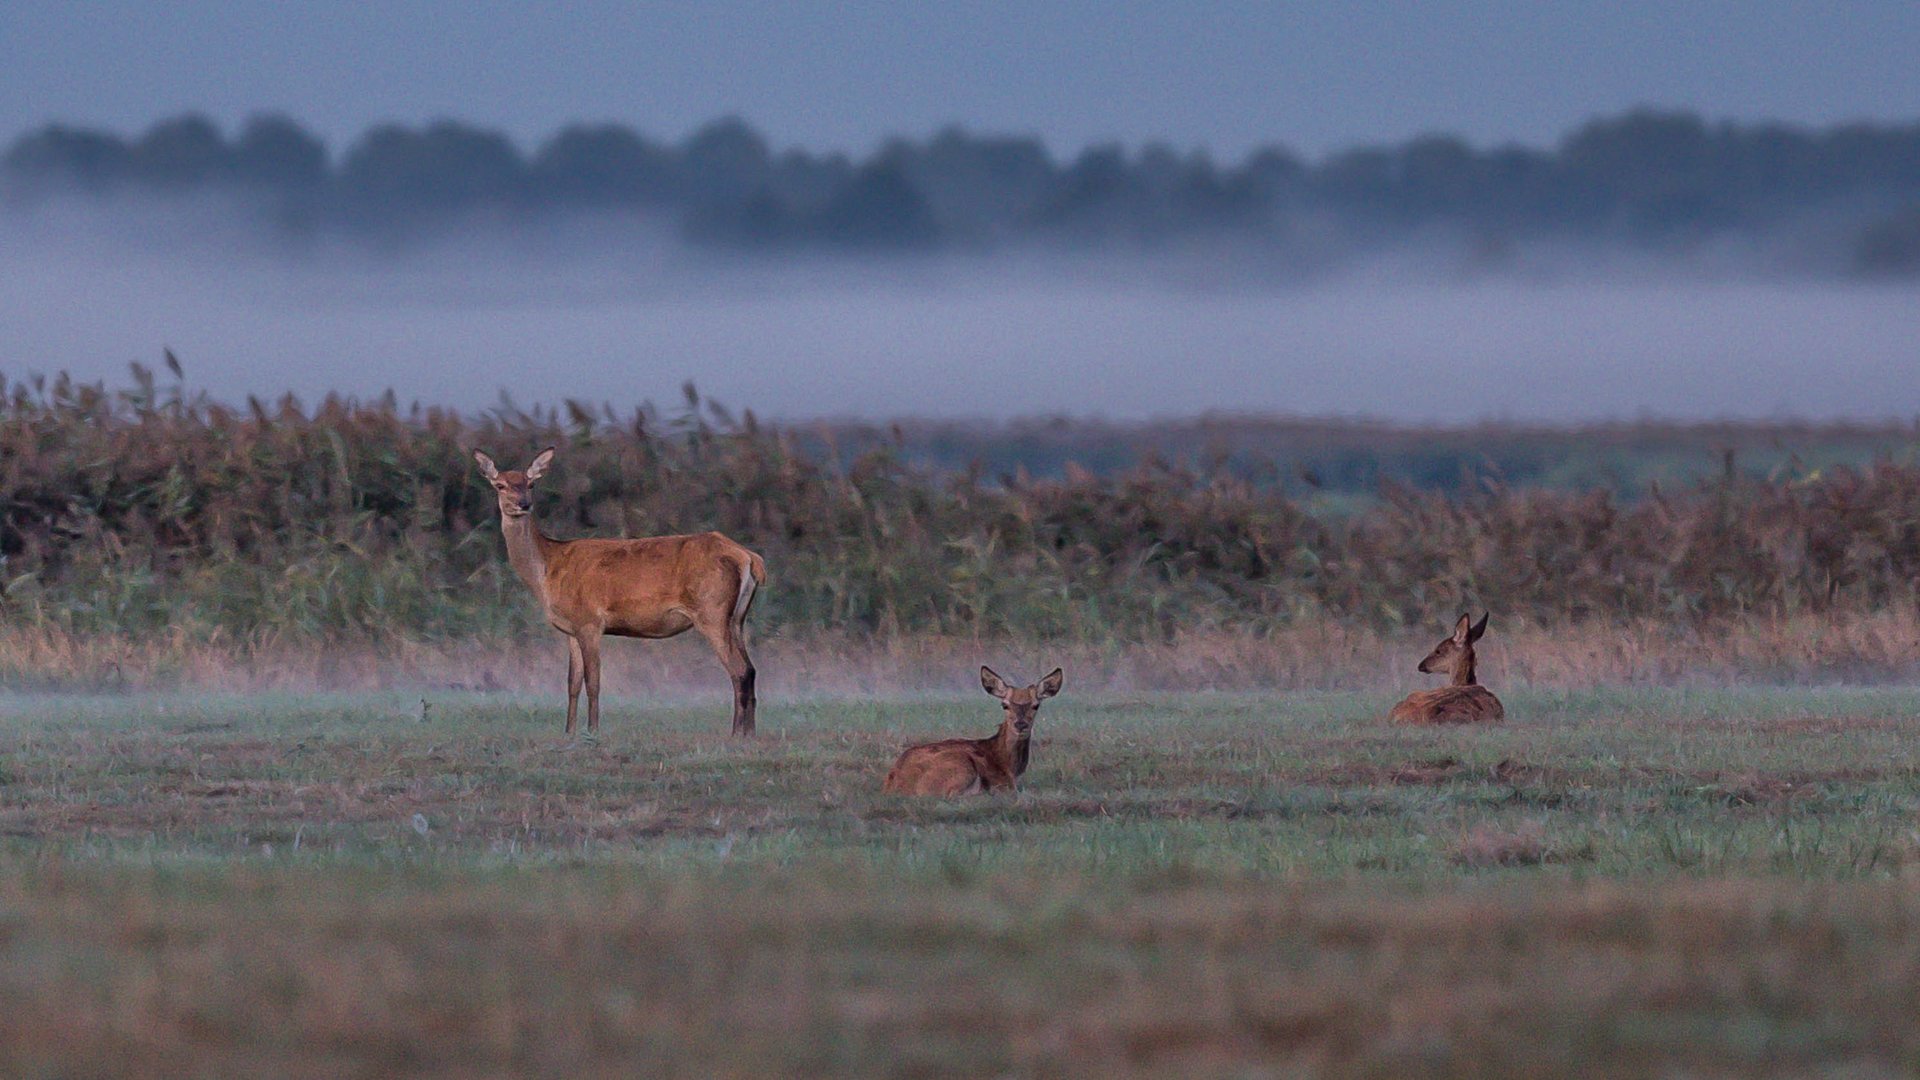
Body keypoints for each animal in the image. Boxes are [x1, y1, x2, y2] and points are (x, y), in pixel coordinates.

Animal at [472, 443, 764, 730]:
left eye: (531, 483)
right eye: (500, 485)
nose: (523, 504)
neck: (548, 568)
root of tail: (748, 557)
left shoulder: (590, 621)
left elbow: (593, 682)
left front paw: (592, 731)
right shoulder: (570, 628)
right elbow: (572, 684)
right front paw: (569, 732)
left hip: (711, 610)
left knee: (738, 671)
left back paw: (736, 733)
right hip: (736, 619)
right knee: (750, 670)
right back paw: (748, 734)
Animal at [883, 664, 1067, 791]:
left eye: (1036, 705)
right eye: (1004, 705)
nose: (1020, 724)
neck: (1010, 767)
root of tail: (894, 782)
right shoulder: (1005, 784)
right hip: (960, 766)